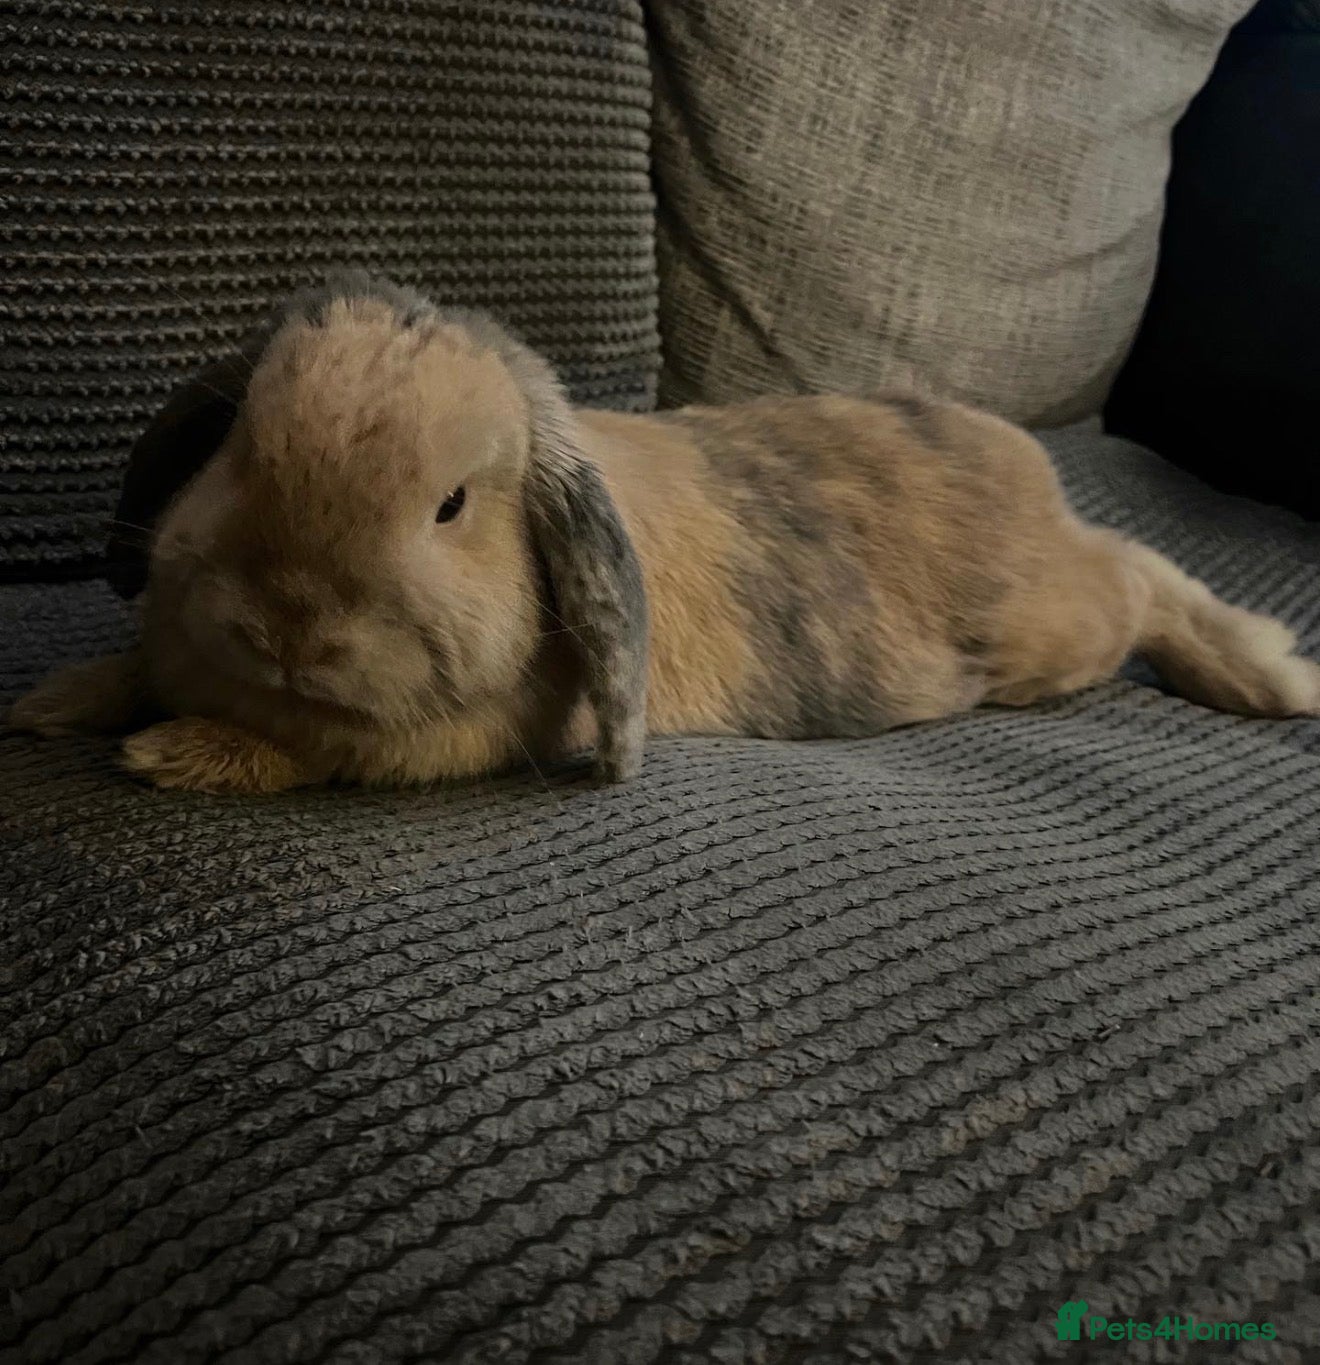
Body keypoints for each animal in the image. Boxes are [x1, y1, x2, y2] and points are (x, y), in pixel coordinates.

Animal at [10, 271, 1320, 793]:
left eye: (451, 506)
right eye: (238, 447)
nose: (291, 627)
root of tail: (1041, 474)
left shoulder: (444, 745)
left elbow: (306, 757)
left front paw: (171, 756)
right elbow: (127, 670)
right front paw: (51, 703)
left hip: (1060, 630)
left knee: (1142, 581)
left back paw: (1263, 671)